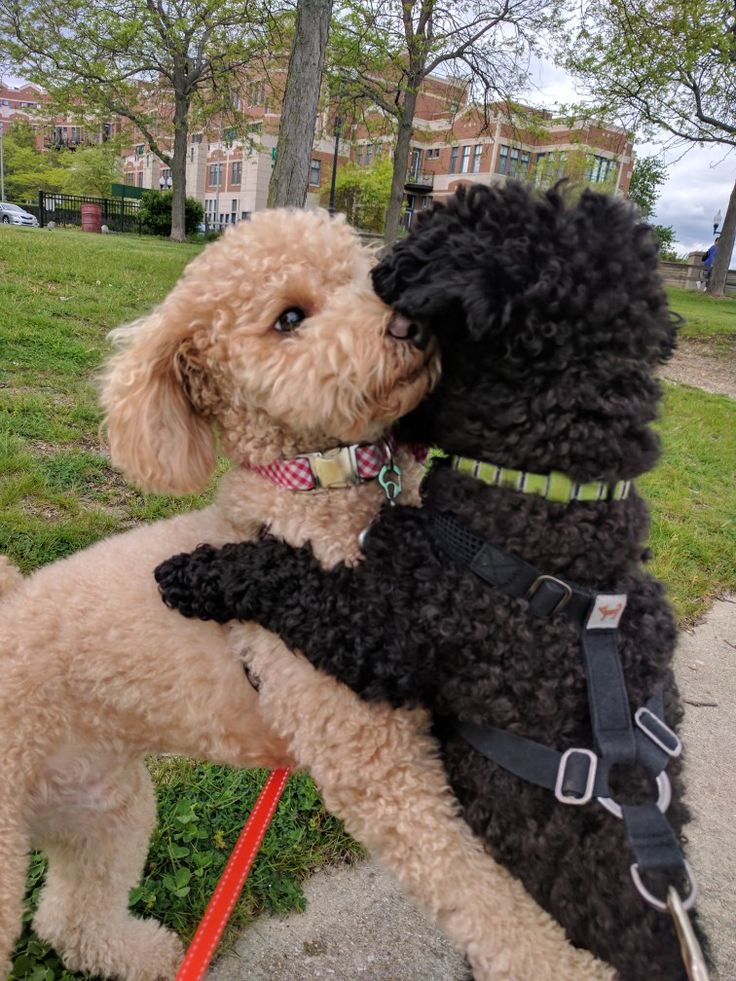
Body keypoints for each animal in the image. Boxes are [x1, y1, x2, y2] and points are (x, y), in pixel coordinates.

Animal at [157, 186, 708, 980]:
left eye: (412, 262)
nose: (395, 312)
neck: (549, 501)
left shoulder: (395, 630)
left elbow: (293, 577)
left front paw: (196, 570)